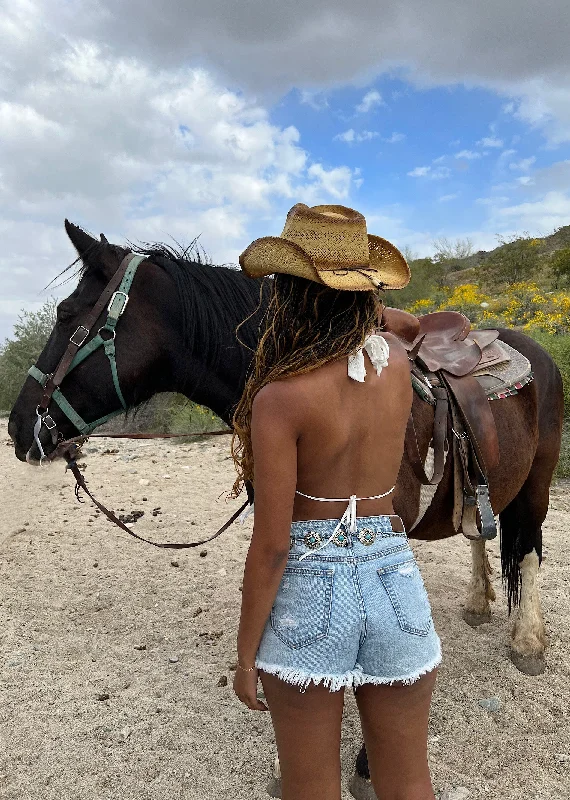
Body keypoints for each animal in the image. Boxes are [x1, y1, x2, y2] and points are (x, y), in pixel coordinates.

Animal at [8, 222, 564, 800]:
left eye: (66, 314)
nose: (20, 425)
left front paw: (365, 764)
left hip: (538, 481)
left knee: (529, 549)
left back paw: (528, 642)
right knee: (480, 532)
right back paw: (478, 604)